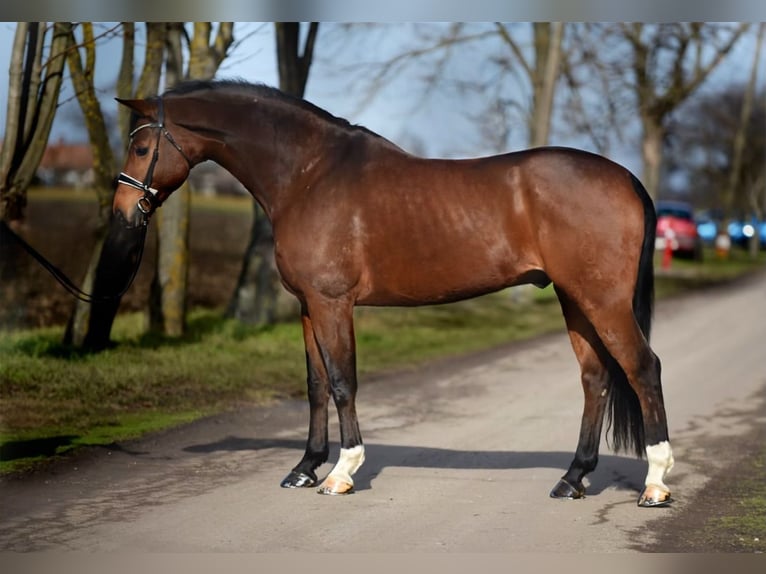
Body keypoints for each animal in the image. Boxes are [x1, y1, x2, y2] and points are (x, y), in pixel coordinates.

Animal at [111, 80, 676, 508]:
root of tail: (626, 178)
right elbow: (316, 384)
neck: (310, 175)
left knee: (643, 369)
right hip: (574, 299)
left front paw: (342, 473)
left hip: (602, 301)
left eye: (140, 147)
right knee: (595, 378)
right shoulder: (307, 307)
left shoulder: (333, 303)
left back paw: (654, 484)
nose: (121, 213)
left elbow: (343, 382)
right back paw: (573, 478)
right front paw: (305, 468)